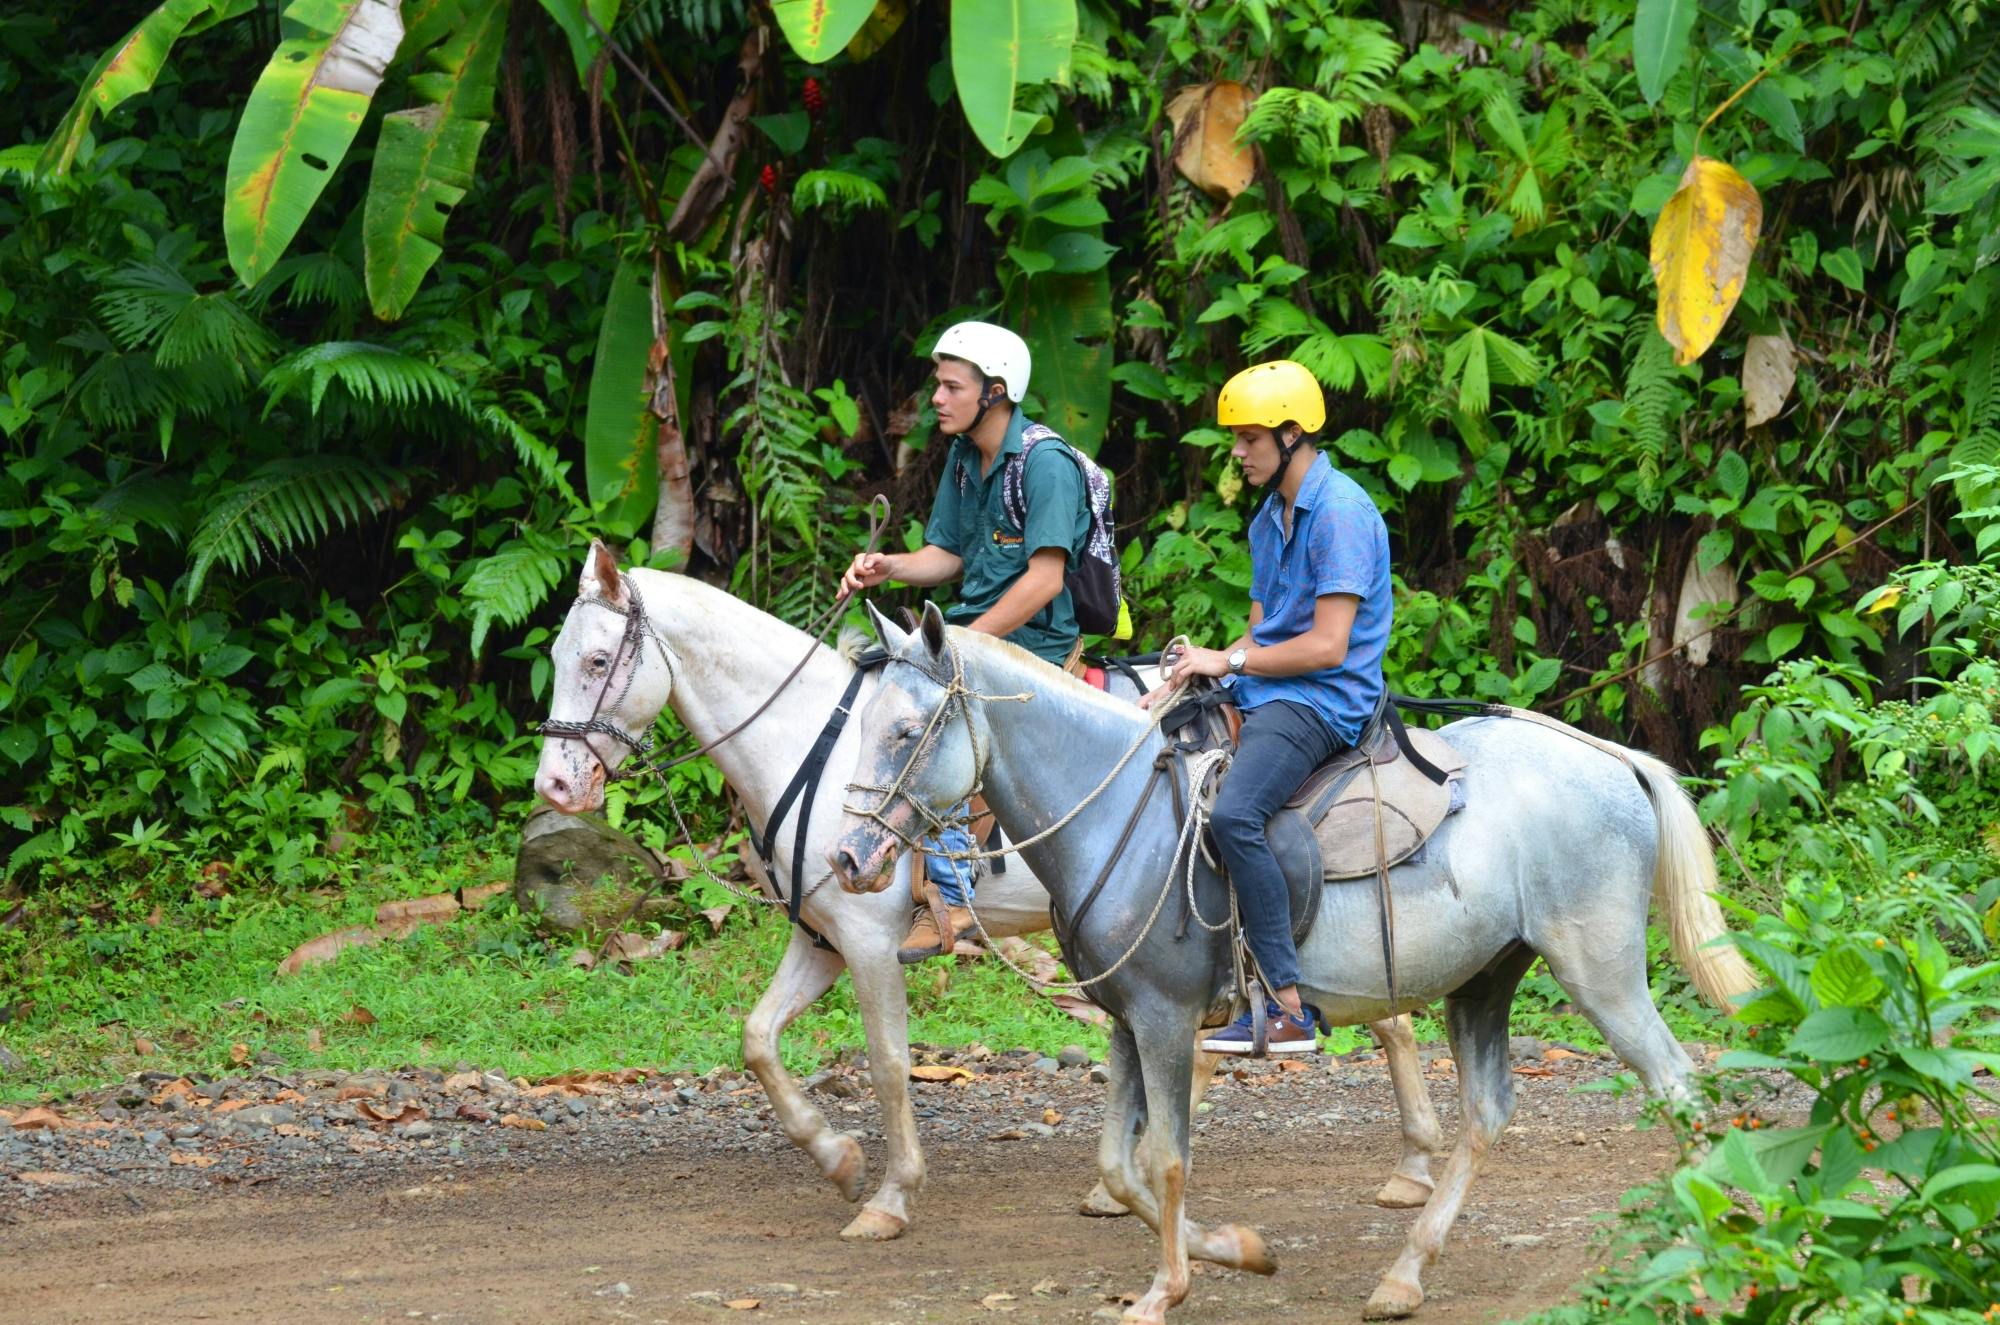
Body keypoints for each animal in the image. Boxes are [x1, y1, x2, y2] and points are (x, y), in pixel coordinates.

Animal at [532, 544, 1440, 1248]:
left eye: (597, 661)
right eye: (558, 659)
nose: (556, 785)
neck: (812, 744)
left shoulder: (869, 939)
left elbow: (889, 1062)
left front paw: (891, 1194)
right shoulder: (820, 937)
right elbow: (757, 1040)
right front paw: (838, 1157)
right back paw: (1401, 1165)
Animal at [832, 608, 1768, 1325]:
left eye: (908, 733)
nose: (847, 857)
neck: (1117, 817)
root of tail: (1614, 758)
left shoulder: (1167, 1019)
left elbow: (1166, 1159)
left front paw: (1166, 1287)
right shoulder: (1131, 1019)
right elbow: (1119, 1166)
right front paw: (1237, 1249)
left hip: (1601, 973)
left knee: (1679, 1087)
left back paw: (1695, 1256)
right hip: (1485, 978)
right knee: (1489, 1112)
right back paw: (1404, 1274)